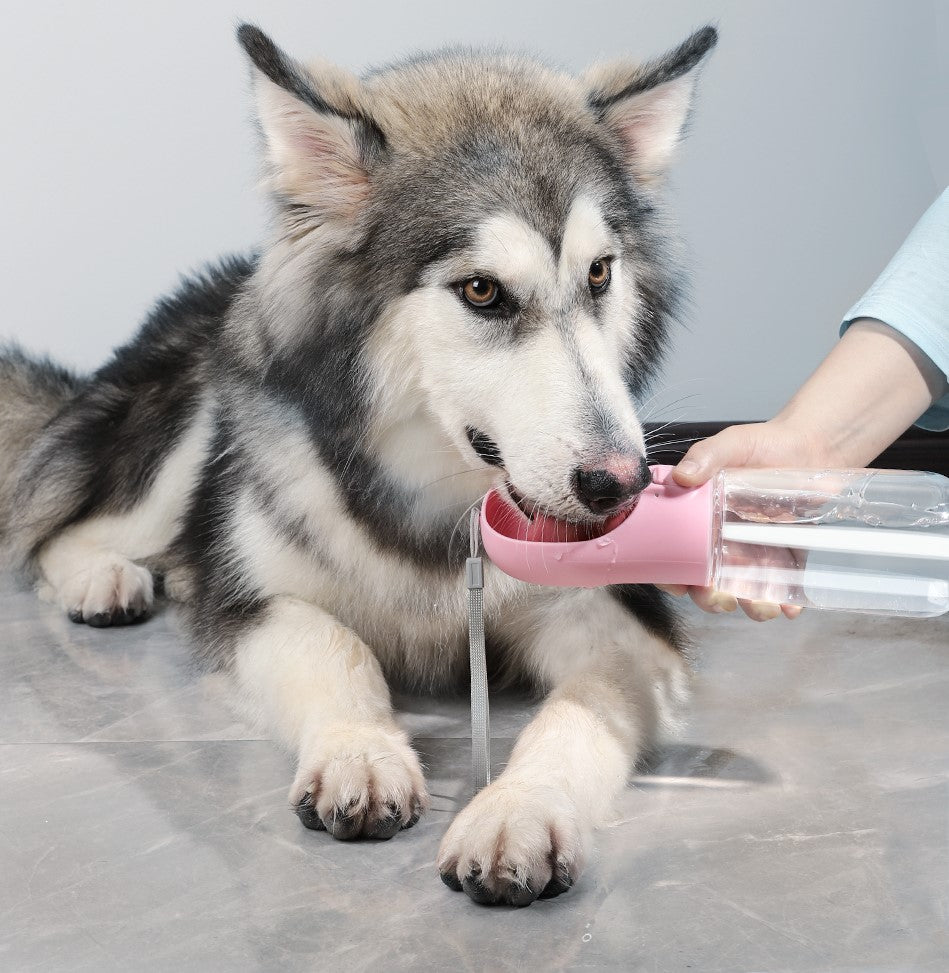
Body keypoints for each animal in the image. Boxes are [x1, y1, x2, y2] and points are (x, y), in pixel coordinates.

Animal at [0, 20, 720, 904]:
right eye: (481, 291)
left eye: (598, 273)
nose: (618, 485)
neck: (440, 503)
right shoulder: (254, 600)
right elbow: (332, 644)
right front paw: (360, 750)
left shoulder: (622, 628)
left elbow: (576, 713)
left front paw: (519, 806)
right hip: (192, 424)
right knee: (58, 523)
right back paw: (103, 577)